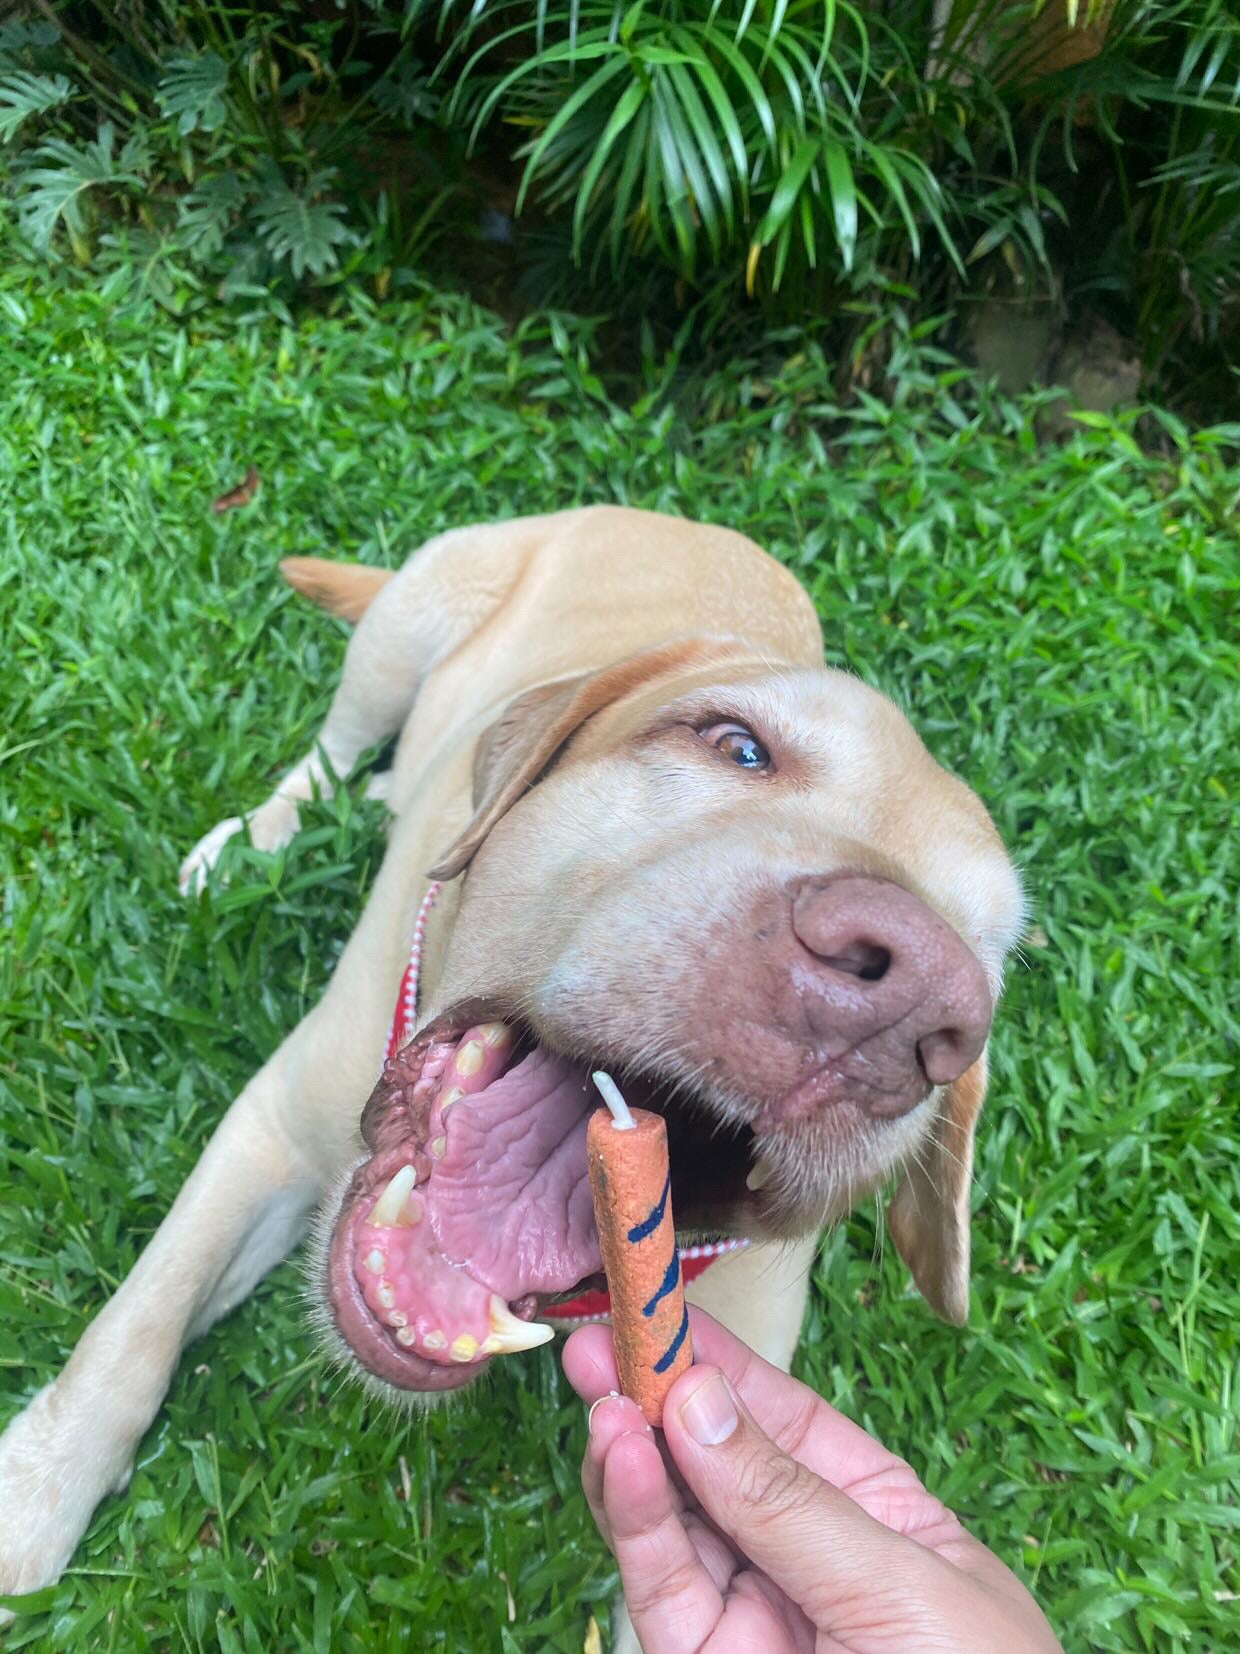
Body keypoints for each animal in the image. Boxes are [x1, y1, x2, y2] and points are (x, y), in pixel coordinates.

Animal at [0, 506, 1025, 1627]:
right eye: (736, 745)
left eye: (992, 960)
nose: (917, 1004)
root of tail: (685, 518)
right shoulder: (269, 1129)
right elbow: (135, 1328)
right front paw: (34, 1495)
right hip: (403, 626)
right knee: (330, 753)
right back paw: (256, 839)